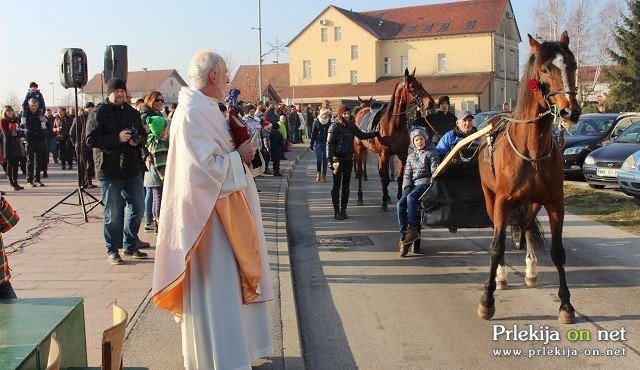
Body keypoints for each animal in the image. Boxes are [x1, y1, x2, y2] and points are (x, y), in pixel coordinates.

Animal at [352, 68, 438, 210]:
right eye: (412, 86)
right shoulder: (385, 155)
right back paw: (360, 197)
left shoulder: (402, 155)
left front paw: (398, 198)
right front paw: (383, 203)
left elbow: (399, 178)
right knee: (360, 172)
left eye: (420, 83)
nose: (430, 102)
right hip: (359, 149)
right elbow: (386, 178)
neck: (394, 124)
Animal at [480, 32, 580, 324]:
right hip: (490, 197)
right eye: (545, 69)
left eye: (573, 66)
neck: (532, 150)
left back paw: (531, 270)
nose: (570, 112)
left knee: (525, 223)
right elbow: (496, 246)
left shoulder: (555, 202)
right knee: (499, 231)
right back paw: (501, 276)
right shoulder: (502, 201)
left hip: (533, 201)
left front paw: (566, 305)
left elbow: (558, 252)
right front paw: (487, 299)